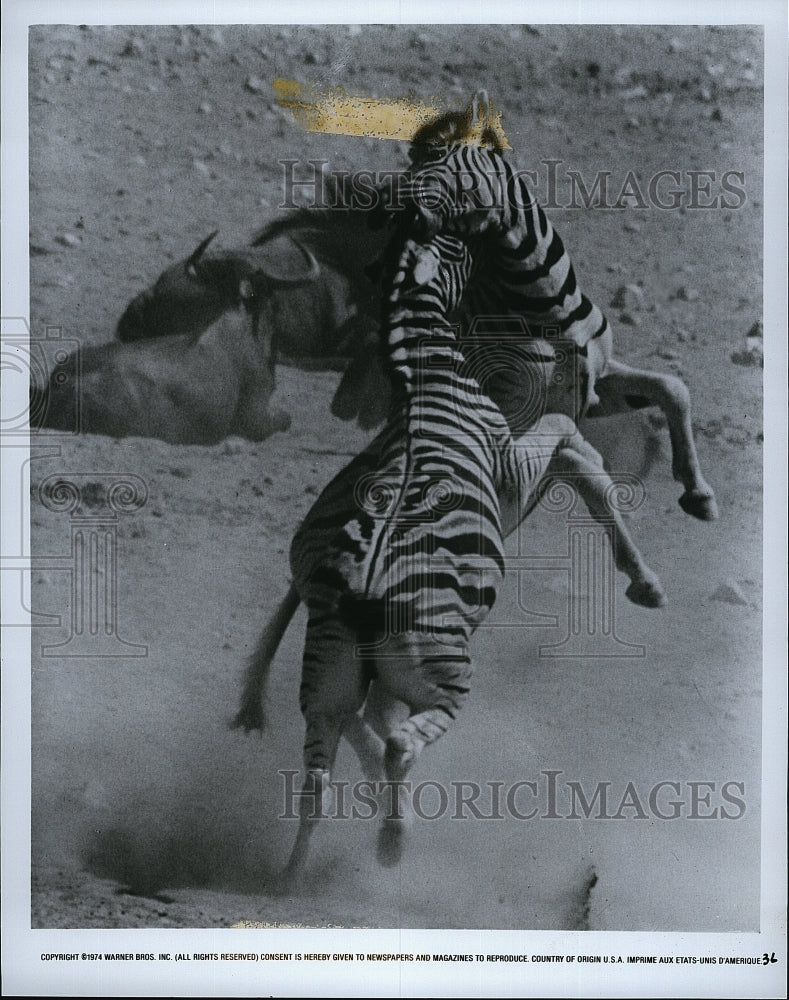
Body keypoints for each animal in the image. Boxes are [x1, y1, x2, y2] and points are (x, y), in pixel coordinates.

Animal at [234, 223, 664, 888]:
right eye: (463, 246)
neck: (428, 374)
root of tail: (358, 589)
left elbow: (573, 446)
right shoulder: (513, 465)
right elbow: (569, 437)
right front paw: (641, 577)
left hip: (327, 689)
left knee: (320, 776)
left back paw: (294, 876)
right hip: (439, 676)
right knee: (398, 742)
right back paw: (392, 843)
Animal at [384, 92, 716, 524]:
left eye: (437, 155)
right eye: (412, 158)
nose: (394, 213)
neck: (548, 305)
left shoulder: (591, 388)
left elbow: (672, 388)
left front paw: (698, 491)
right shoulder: (524, 406)